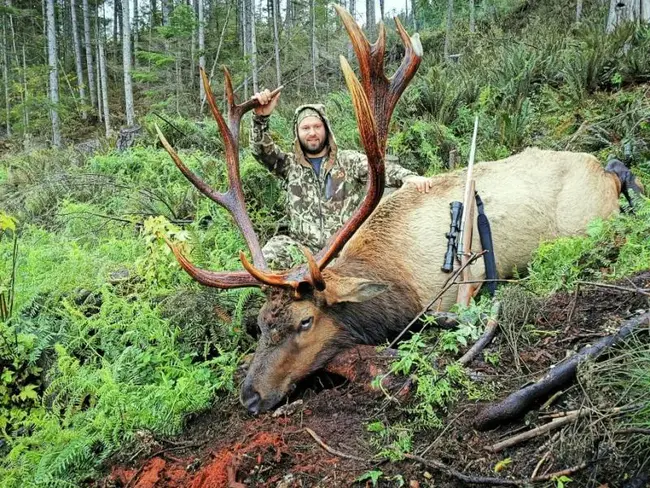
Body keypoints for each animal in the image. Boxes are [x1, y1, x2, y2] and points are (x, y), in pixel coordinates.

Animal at [153, 5, 644, 414]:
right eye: (259, 323)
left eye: (306, 320)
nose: (250, 397)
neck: (397, 279)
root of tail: (604, 171)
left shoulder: (452, 293)